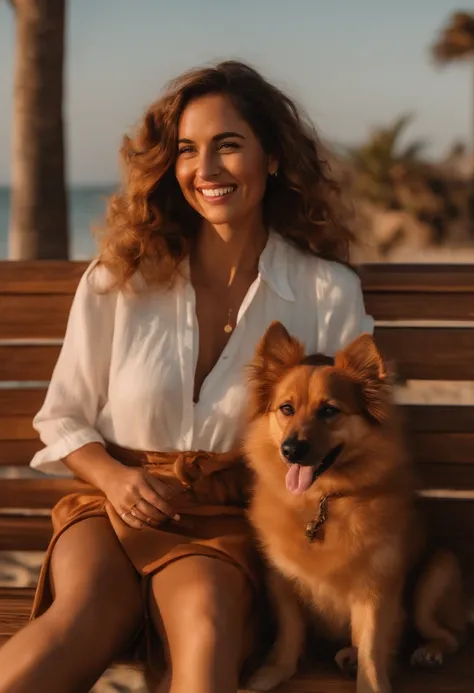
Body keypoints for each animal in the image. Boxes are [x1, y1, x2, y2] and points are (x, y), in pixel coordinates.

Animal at [243, 322, 464, 692]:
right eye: (286, 409)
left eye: (329, 411)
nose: (291, 450)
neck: (323, 502)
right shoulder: (282, 581)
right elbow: (288, 635)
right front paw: (270, 674)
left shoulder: (375, 588)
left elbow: (372, 648)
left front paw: (372, 683)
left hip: (437, 573)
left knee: (446, 635)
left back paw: (429, 651)